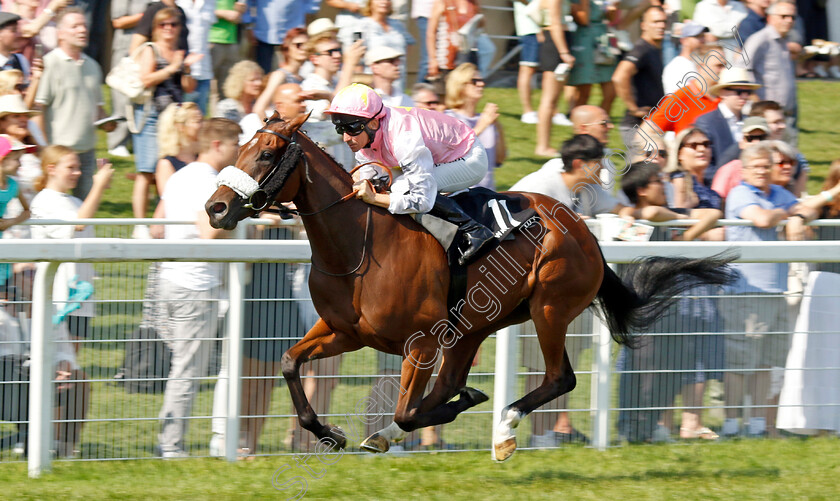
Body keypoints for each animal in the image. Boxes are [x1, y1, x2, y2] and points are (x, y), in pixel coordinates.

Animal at [205, 113, 736, 460]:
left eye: (267, 153)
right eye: (240, 148)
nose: (216, 208)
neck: (357, 244)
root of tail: (583, 230)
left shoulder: (420, 342)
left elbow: (406, 409)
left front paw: (438, 414)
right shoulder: (345, 331)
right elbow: (289, 362)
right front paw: (330, 434)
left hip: (548, 308)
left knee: (558, 378)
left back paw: (503, 428)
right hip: (475, 326)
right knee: (455, 381)